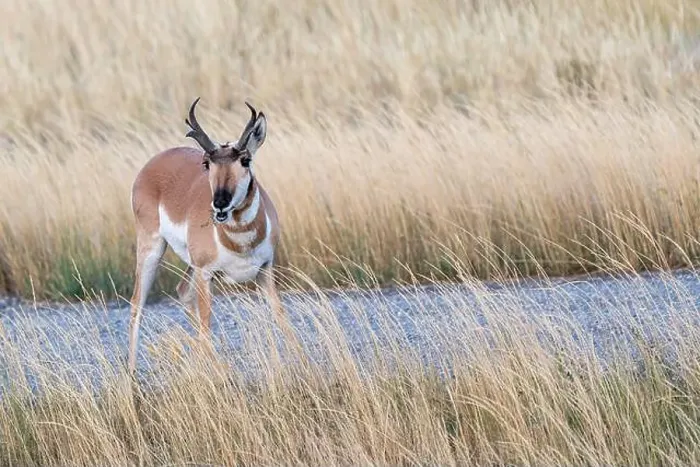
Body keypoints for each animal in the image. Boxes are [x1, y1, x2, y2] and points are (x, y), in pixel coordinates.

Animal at [128, 97, 283, 374]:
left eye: (245, 160)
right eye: (207, 164)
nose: (220, 203)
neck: (240, 241)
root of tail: (153, 163)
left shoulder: (265, 270)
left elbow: (279, 315)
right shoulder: (206, 273)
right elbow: (206, 323)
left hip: (190, 264)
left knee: (182, 291)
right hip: (153, 250)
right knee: (138, 303)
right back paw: (132, 374)